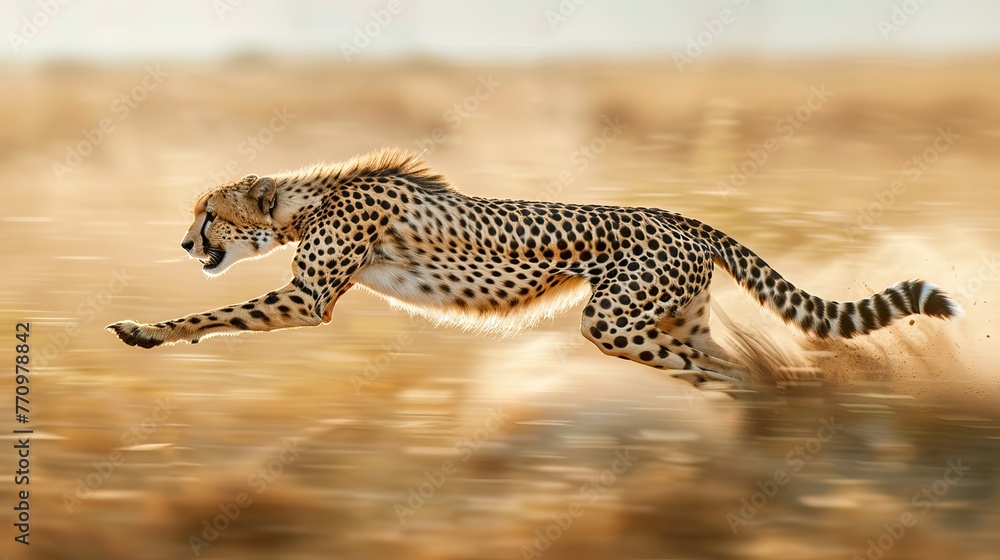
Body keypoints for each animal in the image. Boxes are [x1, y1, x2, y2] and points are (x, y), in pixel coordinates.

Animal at [108, 148, 963, 389]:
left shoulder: (309, 294)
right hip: (672, 315)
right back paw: (780, 407)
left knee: (715, 369)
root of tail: (679, 216)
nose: (184, 245)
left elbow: (214, 313)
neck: (306, 201)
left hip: (613, 317)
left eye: (208, 213)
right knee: (732, 362)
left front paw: (145, 330)